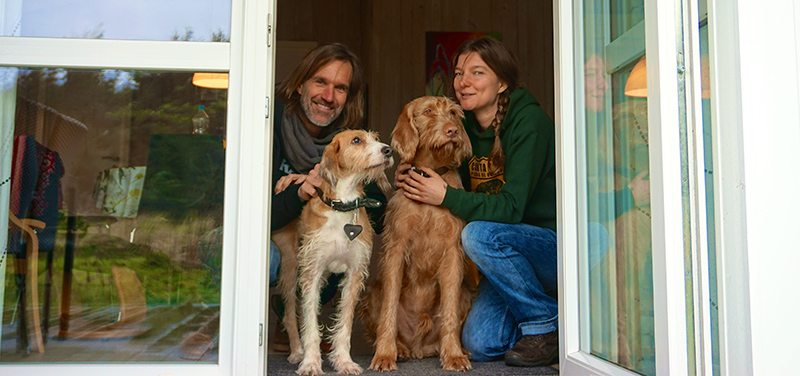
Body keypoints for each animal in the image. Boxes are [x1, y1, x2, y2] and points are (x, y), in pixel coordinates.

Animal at [274, 130, 396, 376]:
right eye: (356, 140)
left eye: (374, 137)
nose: (388, 150)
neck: (343, 204)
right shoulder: (312, 273)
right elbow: (310, 323)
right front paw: (311, 362)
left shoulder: (354, 275)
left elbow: (345, 323)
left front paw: (344, 361)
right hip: (291, 268)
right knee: (290, 312)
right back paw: (296, 351)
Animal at [362, 95, 482, 372]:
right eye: (428, 112)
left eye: (453, 113)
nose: (453, 130)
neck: (430, 173)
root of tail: (419, 347)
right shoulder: (395, 250)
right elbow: (388, 310)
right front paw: (385, 354)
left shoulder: (452, 253)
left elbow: (449, 313)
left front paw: (453, 355)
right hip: (372, 294)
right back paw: (400, 349)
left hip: (465, 295)